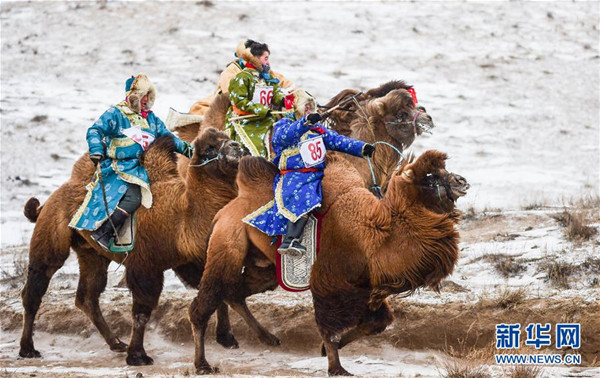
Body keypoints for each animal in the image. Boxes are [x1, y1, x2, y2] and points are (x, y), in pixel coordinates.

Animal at [18, 127, 248, 366]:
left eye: (226, 138)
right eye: (210, 148)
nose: (236, 145)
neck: (181, 218)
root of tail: (48, 201)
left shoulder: (191, 261)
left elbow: (216, 292)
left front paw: (227, 338)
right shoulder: (145, 265)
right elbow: (142, 311)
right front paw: (138, 355)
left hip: (92, 254)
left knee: (88, 296)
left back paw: (115, 343)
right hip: (51, 236)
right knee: (36, 285)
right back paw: (28, 349)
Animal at [188, 150, 468, 376]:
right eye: (431, 176)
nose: (462, 181)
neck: (375, 236)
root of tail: (224, 212)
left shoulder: (365, 289)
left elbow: (377, 322)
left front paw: (326, 351)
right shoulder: (330, 284)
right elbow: (329, 327)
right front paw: (337, 367)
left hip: (264, 268)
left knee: (233, 292)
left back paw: (261, 338)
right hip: (227, 244)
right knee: (206, 301)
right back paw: (203, 364)